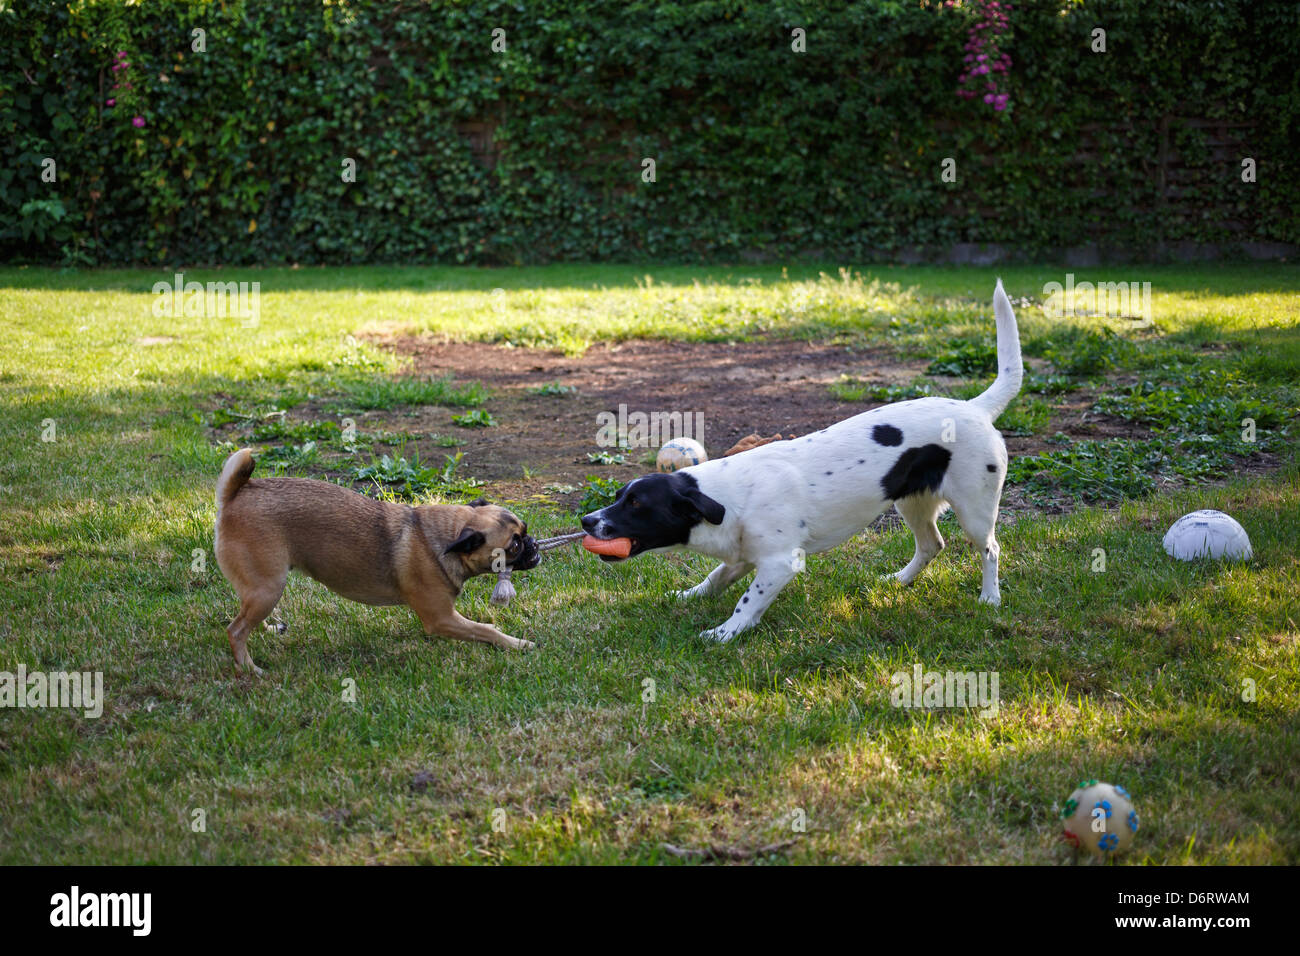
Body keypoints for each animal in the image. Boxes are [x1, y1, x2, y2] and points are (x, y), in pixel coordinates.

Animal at [213, 447, 538, 671]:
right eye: (514, 545)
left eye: (525, 531)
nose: (533, 544)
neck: (447, 536)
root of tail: (237, 494)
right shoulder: (442, 619)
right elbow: (486, 630)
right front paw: (518, 644)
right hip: (269, 587)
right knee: (235, 630)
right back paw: (250, 669)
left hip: (262, 589)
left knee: (244, 617)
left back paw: (269, 631)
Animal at [585, 280, 1019, 647]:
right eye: (620, 495)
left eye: (637, 504)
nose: (587, 521)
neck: (729, 495)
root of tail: (974, 407)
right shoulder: (744, 555)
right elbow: (714, 577)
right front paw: (688, 595)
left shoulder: (781, 563)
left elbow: (747, 601)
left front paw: (724, 632)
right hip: (911, 502)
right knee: (932, 544)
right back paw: (899, 581)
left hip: (975, 509)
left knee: (990, 549)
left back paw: (990, 598)